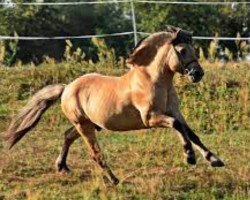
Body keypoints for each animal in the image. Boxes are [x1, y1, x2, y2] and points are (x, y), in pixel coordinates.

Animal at [1, 27, 225, 186]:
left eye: (194, 49)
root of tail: (66, 88)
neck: (153, 80)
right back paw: (114, 180)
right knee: (95, 153)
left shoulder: (174, 113)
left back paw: (62, 167)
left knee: (67, 136)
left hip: (89, 124)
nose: (197, 74)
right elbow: (177, 127)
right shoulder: (151, 118)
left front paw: (214, 160)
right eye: (182, 50)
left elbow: (191, 133)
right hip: (85, 126)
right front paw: (190, 157)